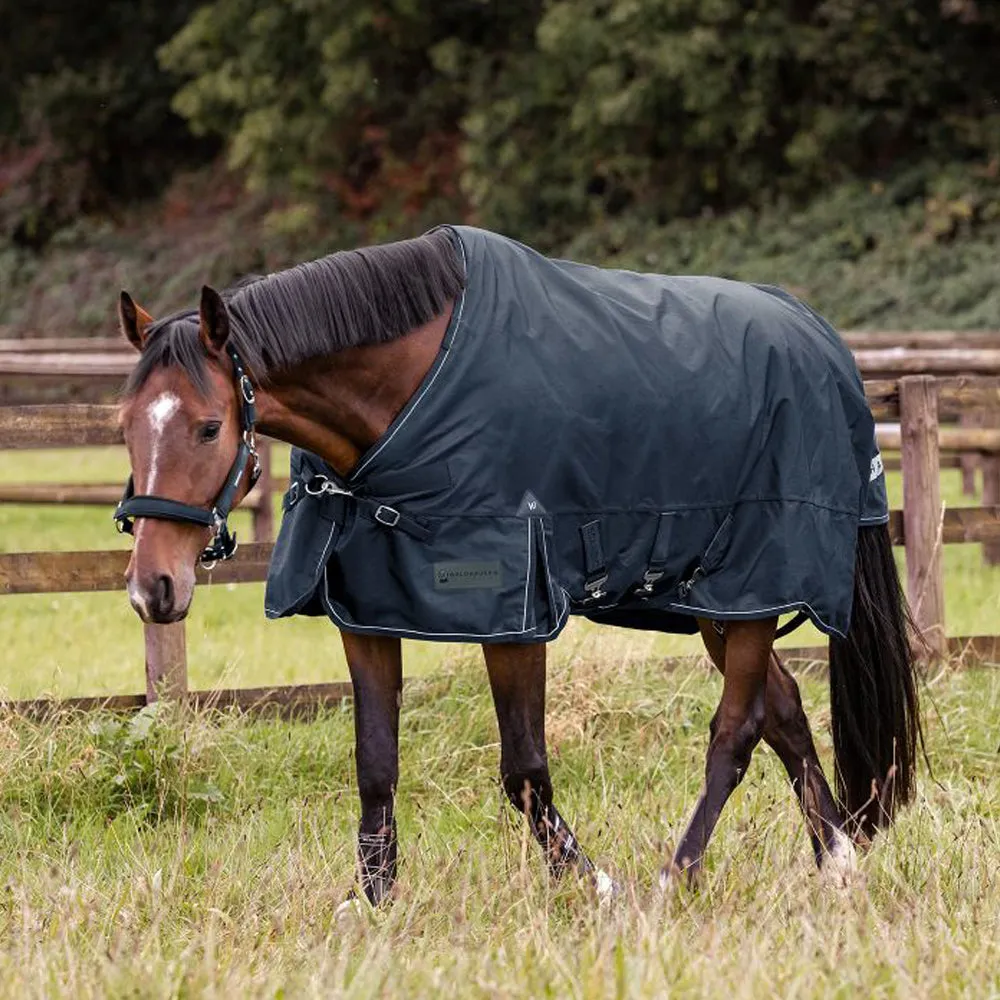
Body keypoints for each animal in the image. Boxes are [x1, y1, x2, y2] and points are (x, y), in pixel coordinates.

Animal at [114, 225, 921, 906]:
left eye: (208, 427)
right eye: (124, 425)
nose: (153, 589)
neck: (410, 399)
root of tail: (822, 341)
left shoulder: (515, 614)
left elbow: (524, 770)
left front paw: (593, 887)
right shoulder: (367, 611)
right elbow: (375, 763)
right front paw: (372, 901)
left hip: (751, 583)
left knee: (737, 731)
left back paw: (675, 878)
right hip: (718, 604)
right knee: (782, 708)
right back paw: (836, 864)